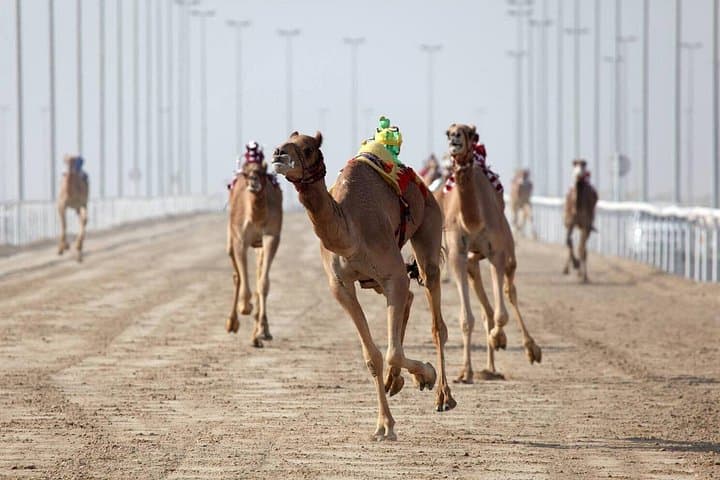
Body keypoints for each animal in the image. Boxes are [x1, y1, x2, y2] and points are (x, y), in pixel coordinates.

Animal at [226, 142, 283, 347]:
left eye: (263, 170)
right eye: (245, 172)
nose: (253, 181)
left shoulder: (271, 236)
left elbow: (263, 283)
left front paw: (260, 333)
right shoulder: (239, 238)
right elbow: (242, 277)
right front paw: (245, 306)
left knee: (258, 275)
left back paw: (260, 333)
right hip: (230, 237)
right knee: (236, 274)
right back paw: (232, 323)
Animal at [272, 124, 455, 441]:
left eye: (307, 148)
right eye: (284, 141)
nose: (278, 154)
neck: (350, 232)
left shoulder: (392, 272)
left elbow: (392, 352)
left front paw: (427, 374)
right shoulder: (341, 286)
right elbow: (373, 356)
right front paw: (384, 425)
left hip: (429, 224)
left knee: (436, 319)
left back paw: (443, 395)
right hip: (378, 279)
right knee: (408, 300)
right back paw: (396, 382)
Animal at [441, 123, 541, 383]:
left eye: (469, 132)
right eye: (448, 132)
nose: (455, 138)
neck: (473, 221)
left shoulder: (497, 252)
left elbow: (502, 314)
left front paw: (499, 338)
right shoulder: (457, 254)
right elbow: (467, 318)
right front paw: (465, 372)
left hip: (509, 250)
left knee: (510, 291)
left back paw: (530, 349)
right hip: (473, 261)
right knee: (484, 302)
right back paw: (488, 368)